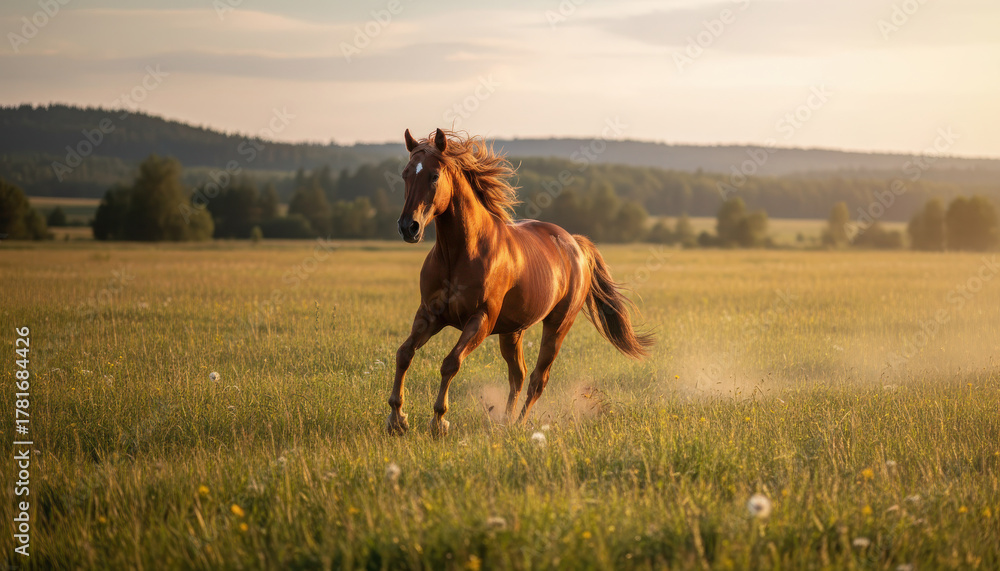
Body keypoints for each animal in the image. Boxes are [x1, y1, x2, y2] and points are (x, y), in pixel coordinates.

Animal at [387, 128, 654, 436]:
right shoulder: (430, 314)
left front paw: (439, 420)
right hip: (512, 332)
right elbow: (404, 353)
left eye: (434, 175)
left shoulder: (481, 319)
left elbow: (450, 362)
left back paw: (518, 424)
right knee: (519, 375)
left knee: (538, 379)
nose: (408, 227)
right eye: (405, 174)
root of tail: (575, 243)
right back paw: (505, 421)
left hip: (557, 327)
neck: (460, 254)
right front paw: (397, 418)